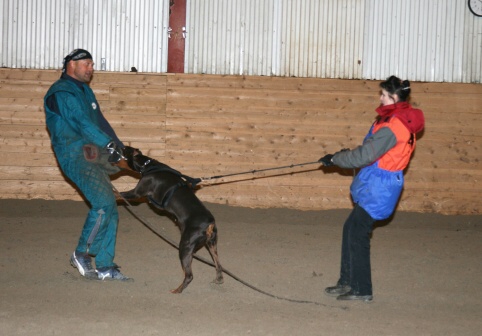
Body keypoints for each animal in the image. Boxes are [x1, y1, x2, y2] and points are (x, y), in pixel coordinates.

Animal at [122, 148, 224, 292]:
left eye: (125, 150)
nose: (120, 147)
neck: (149, 165)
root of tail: (209, 224)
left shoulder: (136, 193)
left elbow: (119, 194)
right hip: (211, 244)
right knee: (218, 264)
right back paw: (218, 279)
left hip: (185, 247)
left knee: (189, 276)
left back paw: (177, 290)